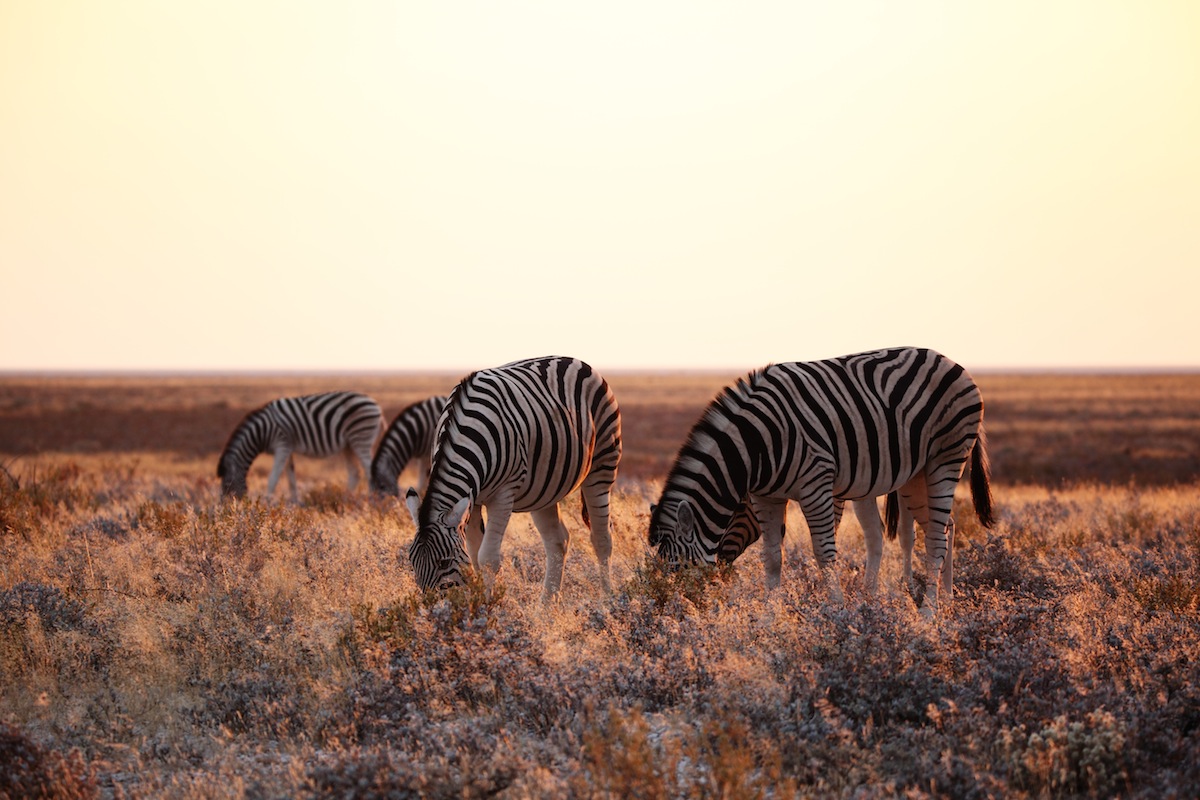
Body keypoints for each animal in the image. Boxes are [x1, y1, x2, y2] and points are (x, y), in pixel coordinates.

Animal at [216, 393, 381, 501]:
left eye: (226, 486)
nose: (227, 511)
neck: (262, 431)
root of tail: (375, 404)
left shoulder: (282, 445)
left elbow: (273, 478)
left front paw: (266, 503)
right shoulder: (288, 448)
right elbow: (291, 478)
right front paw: (294, 503)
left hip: (360, 437)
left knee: (369, 470)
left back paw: (373, 499)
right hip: (349, 444)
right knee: (355, 473)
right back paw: (345, 498)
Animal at [408, 352, 624, 597]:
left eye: (444, 562)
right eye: (412, 562)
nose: (433, 607)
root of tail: (577, 361)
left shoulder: (502, 495)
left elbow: (487, 559)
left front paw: (489, 605)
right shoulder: (472, 499)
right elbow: (474, 555)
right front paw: (477, 604)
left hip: (602, 465)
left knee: (602, 538)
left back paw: (607, 600)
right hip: (545, 487)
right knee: (558, 541)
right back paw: (547, 604)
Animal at [648, 347, 993, 618]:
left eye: (678, 569)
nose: (673, 615)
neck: (756, 447)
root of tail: (950, 361)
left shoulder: (817, 485)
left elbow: (825, 554)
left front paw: (835, 610)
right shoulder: (766, 496)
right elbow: (772, 558)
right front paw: (769, 617)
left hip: (945, 458)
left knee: (935, 537)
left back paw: (928, 613)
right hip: (914, 475)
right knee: (941, 528)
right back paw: (944, 601)